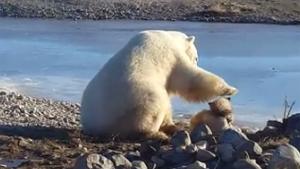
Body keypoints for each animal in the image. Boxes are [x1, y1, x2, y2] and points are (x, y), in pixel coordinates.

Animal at [81, 30, 238, 140]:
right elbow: (189, 79)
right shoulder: (172, 56)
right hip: (136, 97)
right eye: (196, 57)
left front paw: (170, 123)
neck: (169, 37)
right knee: (154, 104)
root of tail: (95, 125)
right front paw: (230, 89)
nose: (196, 61)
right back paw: (156, 134)